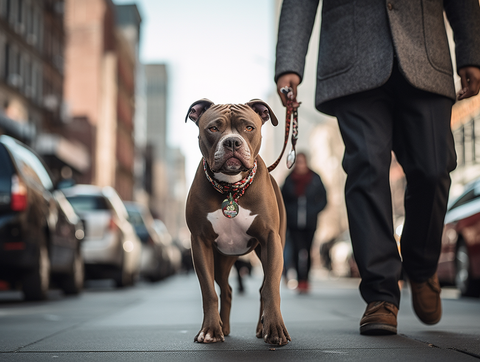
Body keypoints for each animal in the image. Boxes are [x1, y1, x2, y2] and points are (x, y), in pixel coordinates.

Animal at [184, 98, 290, 346]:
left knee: (262, 287)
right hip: (221, 260)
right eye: (213, 128)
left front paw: (275, 328)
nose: (232, 141)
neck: (231, 187)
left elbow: (271, 288)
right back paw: (223, 327)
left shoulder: (271, 241)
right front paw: (210, 330)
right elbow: (209, 292)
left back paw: (262, 328)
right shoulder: (200, 243)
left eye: (249, 128)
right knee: (226, 289)